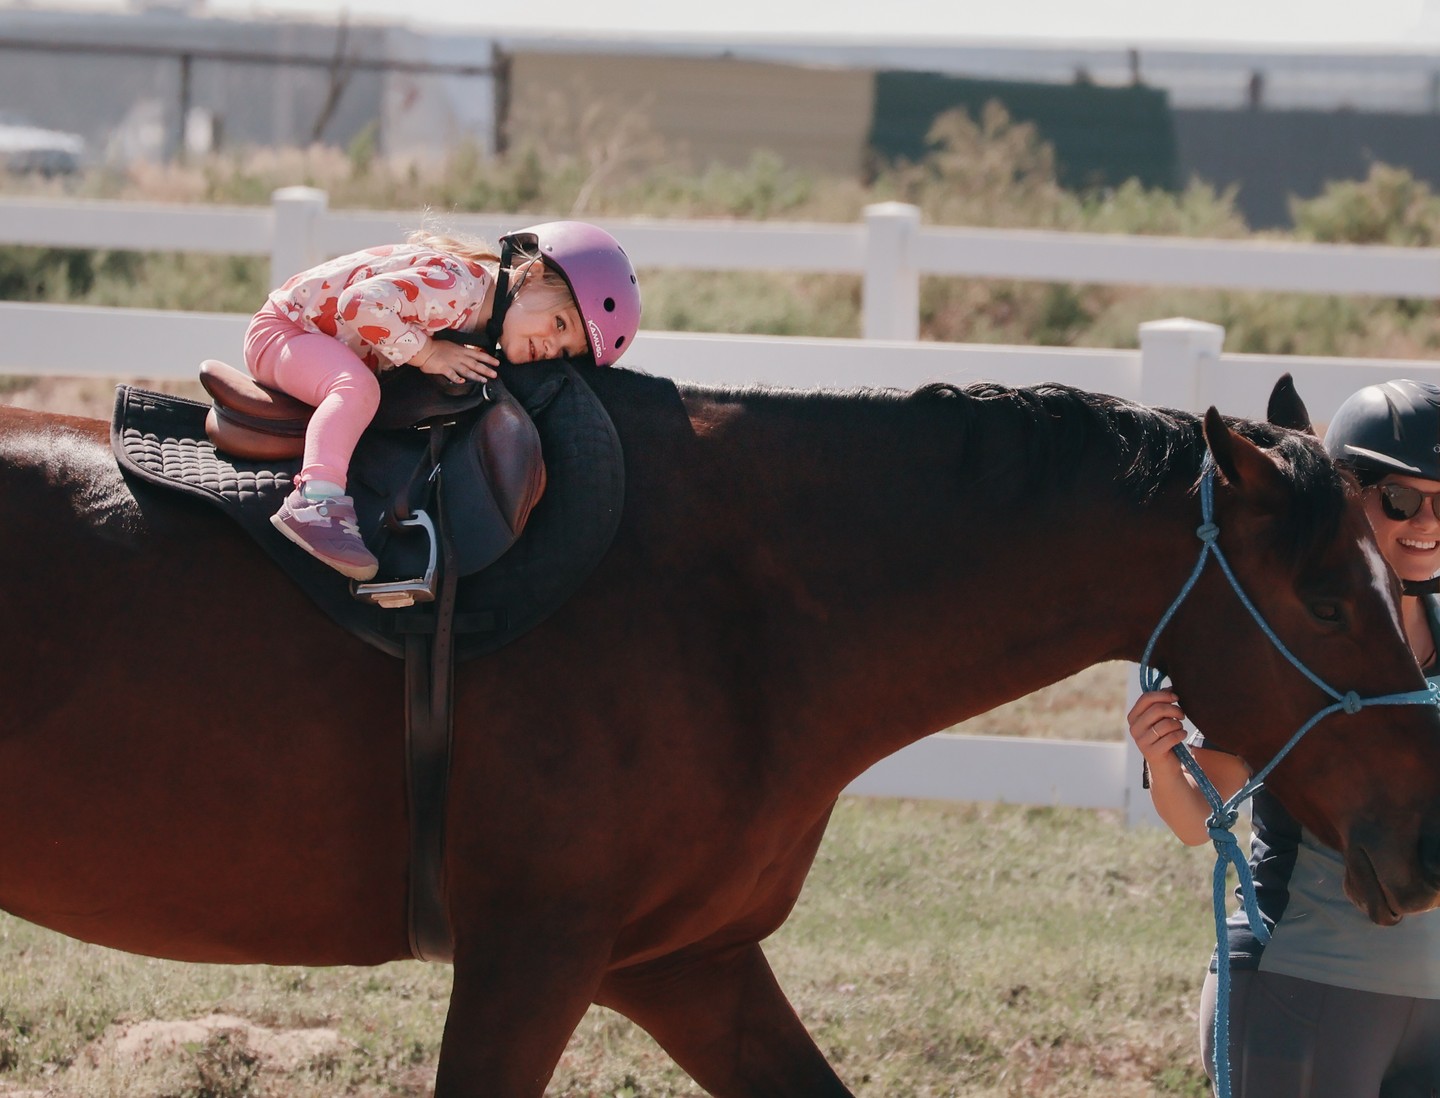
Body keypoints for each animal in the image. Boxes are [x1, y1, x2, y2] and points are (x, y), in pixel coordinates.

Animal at [1, 368, 1439, 1097]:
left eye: (1392, 583)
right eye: (1324, 598)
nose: (1420, 844)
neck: (737, 605)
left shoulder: (685, 964)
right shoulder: (532, 958)